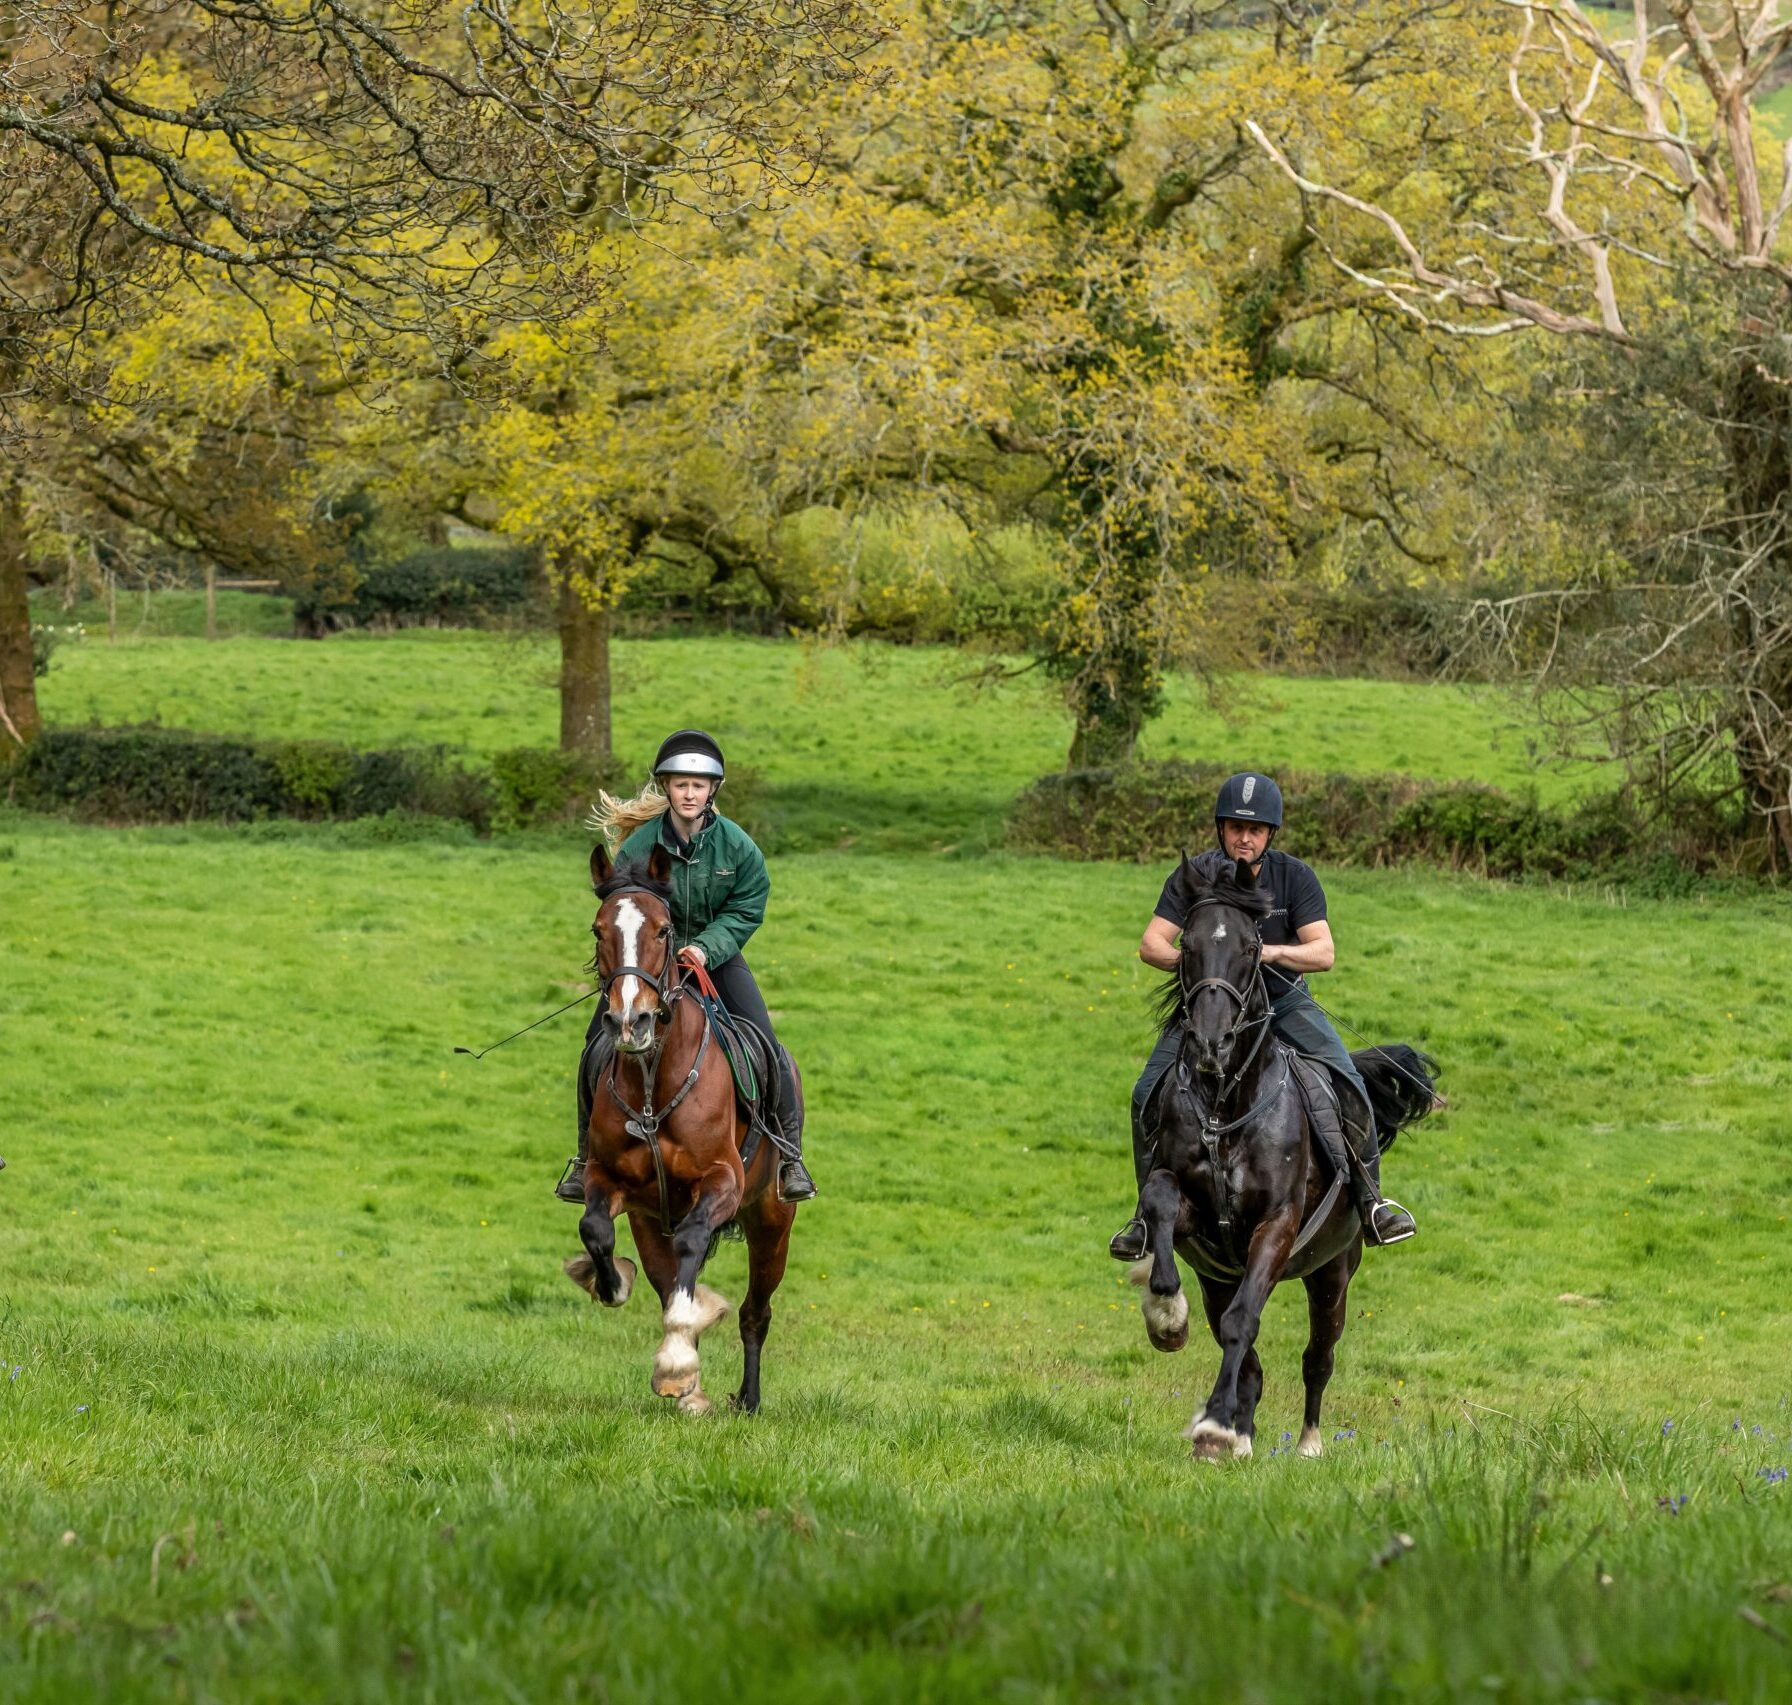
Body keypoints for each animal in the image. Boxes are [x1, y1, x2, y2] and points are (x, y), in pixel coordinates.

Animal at [559, 839, 799, 1412]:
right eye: (598, 930)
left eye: (665, 930)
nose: (631, 1022)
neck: (653, 1080)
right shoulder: (610, 1181)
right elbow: (595, 1230)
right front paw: (610, 1283)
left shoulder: (723, 1182)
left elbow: (693, 1243)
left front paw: (676, 1357)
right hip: (650, 1222)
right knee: (667, 1281)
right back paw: (691, 1391)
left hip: (772, 1223)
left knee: (755, 1312)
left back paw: (746, 1398)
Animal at [1132, 853, 1440, 1470]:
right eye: (1186, 945)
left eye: (1253, 947)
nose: (1211, 1045)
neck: (1226, 1105)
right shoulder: (1200, 1228)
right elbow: (1161, 1202)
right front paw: (1166, 1319)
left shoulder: (1276, 1225)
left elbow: (1245, 1322)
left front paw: (1215, 1426)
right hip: (1219, 1276)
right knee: (1247, 1354)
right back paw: (1240, 1434)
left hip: (1332, 1274)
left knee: (1316, 1357)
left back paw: (1308, 1443)